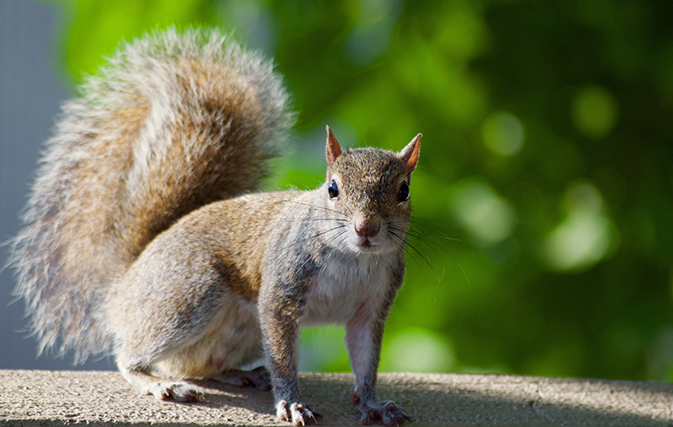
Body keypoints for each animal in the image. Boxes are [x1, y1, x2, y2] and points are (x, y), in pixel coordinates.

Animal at [9, 27, 420, 427]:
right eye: (332, 189)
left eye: (404, 191)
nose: (366, 228)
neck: (353, 258)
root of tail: (124, 284)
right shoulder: (282, 289)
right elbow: (284, 358)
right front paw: (291, 402)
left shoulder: (372, 306)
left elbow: (366, 361)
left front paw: (373, 404)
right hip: (189, 295)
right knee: (132, 357)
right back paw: (160, 384)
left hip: (241, 331)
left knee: (202, 364)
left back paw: (242, 374)